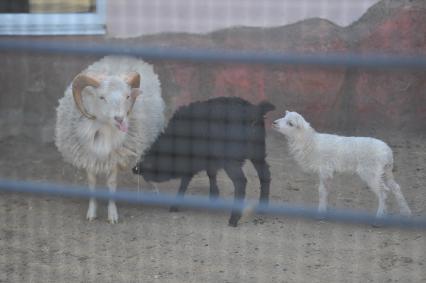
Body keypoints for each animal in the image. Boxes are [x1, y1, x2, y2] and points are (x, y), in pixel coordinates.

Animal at [55, 56, 165, 224]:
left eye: (127, 96)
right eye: (101, 97)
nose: (120, 119)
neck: (104, 129)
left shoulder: (115, 156)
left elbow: (111, 184)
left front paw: (112, 214)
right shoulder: (88, 156)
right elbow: (92, 183)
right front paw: (92, 212)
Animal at [131, 96, 274, 227]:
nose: (135, 169)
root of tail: (255, 111)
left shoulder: (192, 160)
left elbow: (184, 182)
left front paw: (175, 206)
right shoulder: (208, 160)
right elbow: (211, 175)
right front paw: (213, 197)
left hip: (231, 160)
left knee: (241, 182)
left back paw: (233, 219)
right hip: (258, 152)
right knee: (265, 174)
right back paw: (263, 207)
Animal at [274, 111, 412, 217]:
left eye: (290, 123)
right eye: (284, 117)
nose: (274, 123)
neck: (309, 142)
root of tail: (388, 151)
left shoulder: (324, 169)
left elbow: (321, 191)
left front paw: (320, 211)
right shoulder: (328, 172)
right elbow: (326, 190)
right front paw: (325, 209)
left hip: (370, 172)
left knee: (383, 192)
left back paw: (380, 215)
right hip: (386, 171)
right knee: (396, 187)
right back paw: (406, 211)